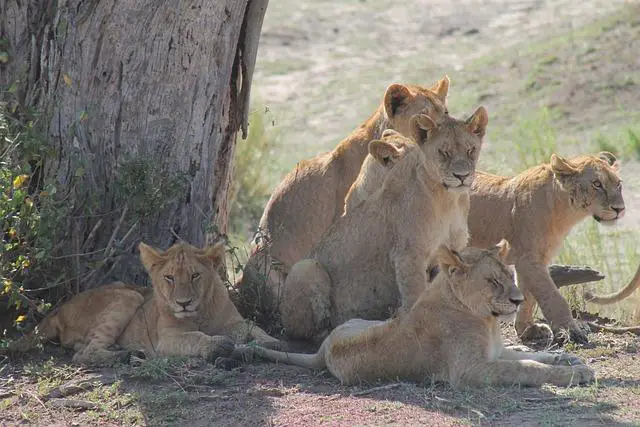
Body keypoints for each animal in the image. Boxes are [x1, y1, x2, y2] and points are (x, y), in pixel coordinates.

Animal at [7, 241, 282, 364]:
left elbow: (252, 327)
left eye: (195, 275)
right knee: (84, 355)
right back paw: (127, 355)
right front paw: (217, 346)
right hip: (129, 296)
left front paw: (272, 342)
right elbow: (196, 337)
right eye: (169, 277)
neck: (200, 312)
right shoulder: (166, 339)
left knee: (81, 349)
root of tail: (58, 310)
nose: (183, 303)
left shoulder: (233, 321)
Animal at [240, 242, 596, 390]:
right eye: (493, 281)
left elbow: (533, 357)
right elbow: (527, 368)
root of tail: (324, 349)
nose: (519, 299)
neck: (487, 321)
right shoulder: (470, 371)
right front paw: (574, 375)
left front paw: (568, 360)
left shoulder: (492, 352)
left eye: (511, 275)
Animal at [278, 108, 488, 342]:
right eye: (444, 153)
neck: (450, 200)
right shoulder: (408, 255)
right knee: (305, 332)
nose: (462, 176)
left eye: (471, 150)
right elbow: (416, 296)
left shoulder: (448, 255)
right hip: (306, 267)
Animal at [468, 152, 628, 342]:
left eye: (618, 184)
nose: (620, 209)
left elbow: (527, 296)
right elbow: (552, 296)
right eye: (597, 184)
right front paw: (571, 331)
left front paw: (527, 329)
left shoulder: (533, 257)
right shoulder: (529, 258)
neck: (564, 211)